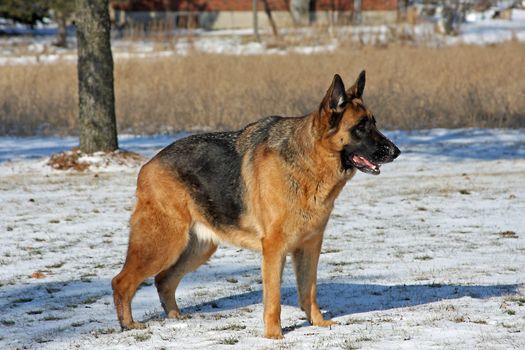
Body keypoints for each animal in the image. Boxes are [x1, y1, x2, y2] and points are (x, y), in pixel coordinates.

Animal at [112, 72, 400, 340]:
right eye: (360, 127)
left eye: (374, 123)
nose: (396, 151)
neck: (310, 160)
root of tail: (147, 166)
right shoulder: (274, 249)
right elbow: (273, 299)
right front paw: (274, 335)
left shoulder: (310, 246)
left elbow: (309, 290)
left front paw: (317, 323)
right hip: (163, 244)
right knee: (121, 281)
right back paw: (128, 325)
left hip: (198, 248)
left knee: (163, 280)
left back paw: (175, 318)